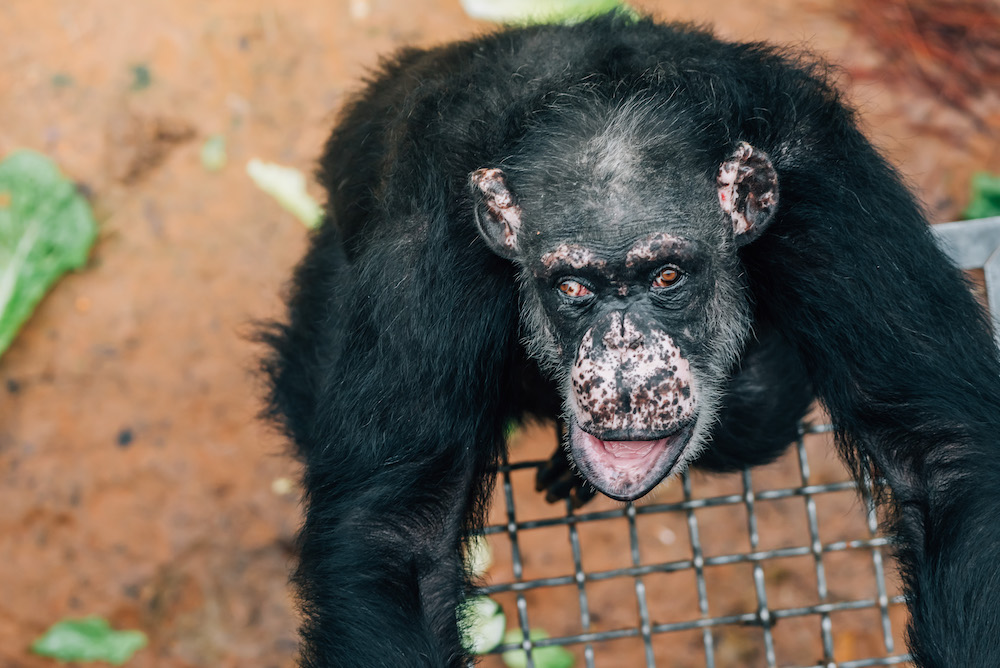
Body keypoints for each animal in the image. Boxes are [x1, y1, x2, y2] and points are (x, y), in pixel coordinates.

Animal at [262, 11, 1000, 668]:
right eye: (573, 287)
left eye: (666, 276)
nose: (623, 366)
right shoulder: (429, 242)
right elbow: (395, 532)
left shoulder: (829, 190)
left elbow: (942, 451)